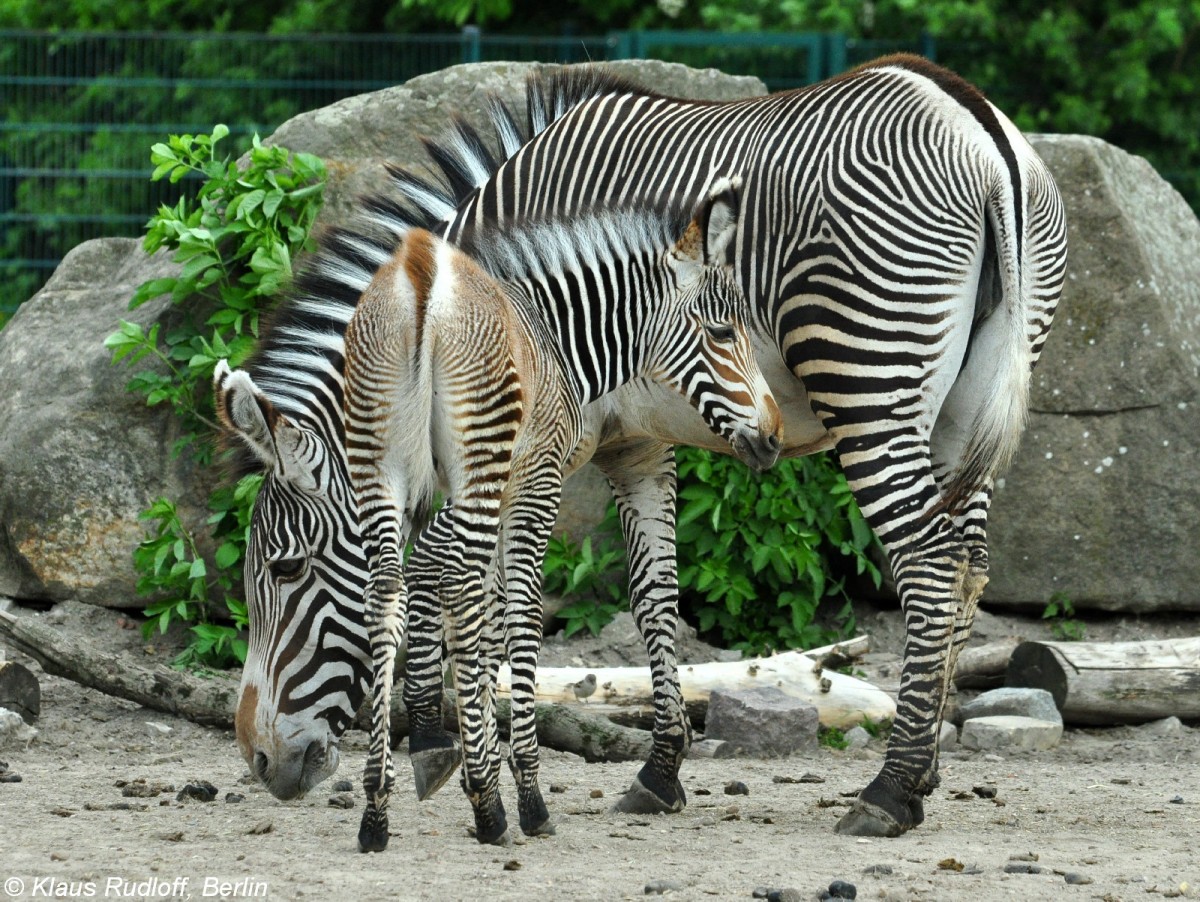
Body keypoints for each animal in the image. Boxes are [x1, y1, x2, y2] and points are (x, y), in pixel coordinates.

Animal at [234, 50, 1070, 839]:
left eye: (284, 569)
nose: (260, 760)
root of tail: (978, 126)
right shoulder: (632, 442)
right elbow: (654, 592)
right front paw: (660, 770)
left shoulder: (543, 439)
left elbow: (474, 581)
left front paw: (455, 753)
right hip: (965, 408)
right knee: (969, 565)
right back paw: (924, 774)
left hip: (867, 378)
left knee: (929, 562)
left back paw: (888, 791)